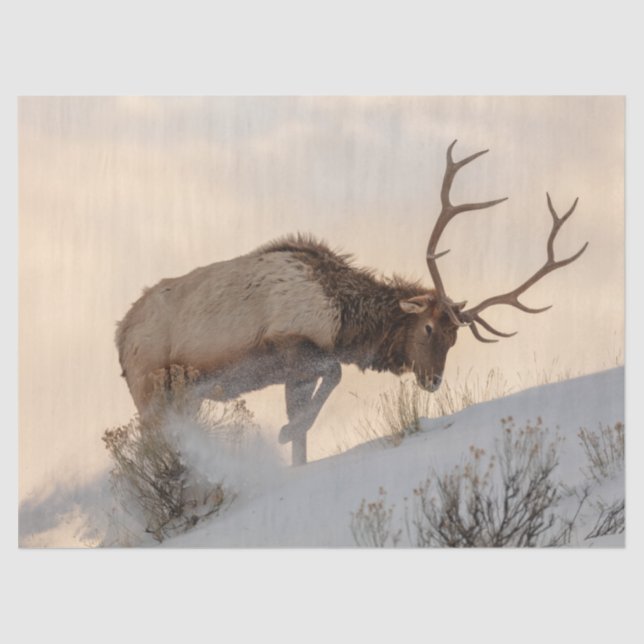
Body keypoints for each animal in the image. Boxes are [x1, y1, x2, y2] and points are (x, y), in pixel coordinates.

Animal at [116, 140, 588, 465]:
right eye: (429, 327)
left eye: (456, 339)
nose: (433, 380)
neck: (344, 320)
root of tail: (120, 335)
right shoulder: (289, 344)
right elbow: (335, 375)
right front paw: (283, 432)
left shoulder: (294, 373)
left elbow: (306, 429)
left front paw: (293, 445)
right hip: (149, 389)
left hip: (183, 396)